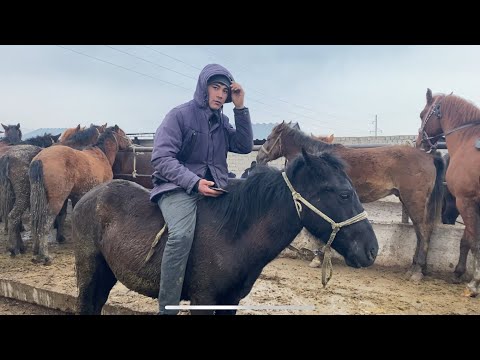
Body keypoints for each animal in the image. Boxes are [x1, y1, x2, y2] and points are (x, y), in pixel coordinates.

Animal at [29, 126, 132, 264]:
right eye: (123, 133)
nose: (130, 142)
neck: (101, 155)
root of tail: (40, 159)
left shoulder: (76, 196)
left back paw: (36, 250)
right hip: (56, 201)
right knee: (44, 223)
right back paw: (45, 255)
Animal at [72, 150, 378, 314]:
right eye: (344, 194)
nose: (372, 249)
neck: (232, 235)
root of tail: (89, 197)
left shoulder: (230, 301)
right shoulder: (204, 300)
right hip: (89, 272)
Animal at [256, 121, 444, 282]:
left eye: (269, 138)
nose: (258, 158)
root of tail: (429, 157)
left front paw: (318, 259)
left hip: (414, 202)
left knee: (423, 232)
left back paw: (416, 272)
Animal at [414, 89, 480, 296]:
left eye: (422, 115)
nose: (419, 142)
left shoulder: (465, 201)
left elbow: (474, 242)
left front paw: (474, 283)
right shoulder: (471, 204)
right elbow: (467, 240)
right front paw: (459, 272)